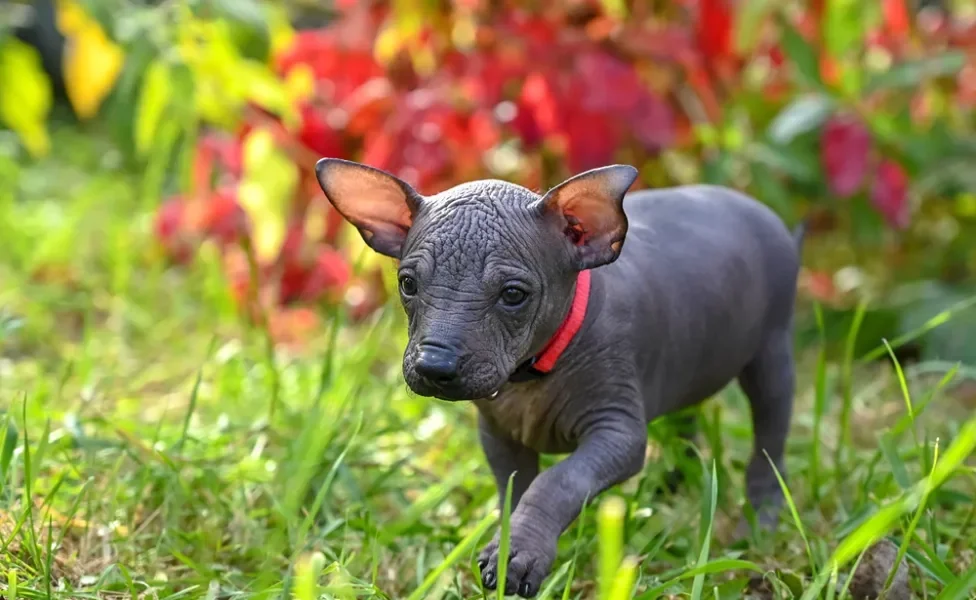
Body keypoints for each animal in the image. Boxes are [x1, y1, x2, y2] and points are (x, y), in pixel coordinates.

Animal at [316, 158, 804, 596]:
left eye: (514, 295)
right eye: (408, 284)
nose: (434, 367)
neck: (534, 372)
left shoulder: (618, 433)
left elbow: (559, 481)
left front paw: (521, 554)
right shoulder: (498, 434)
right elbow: (514, 490)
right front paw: (507, 543)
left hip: (773, 348)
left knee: (770, 437)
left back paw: (760, 522)